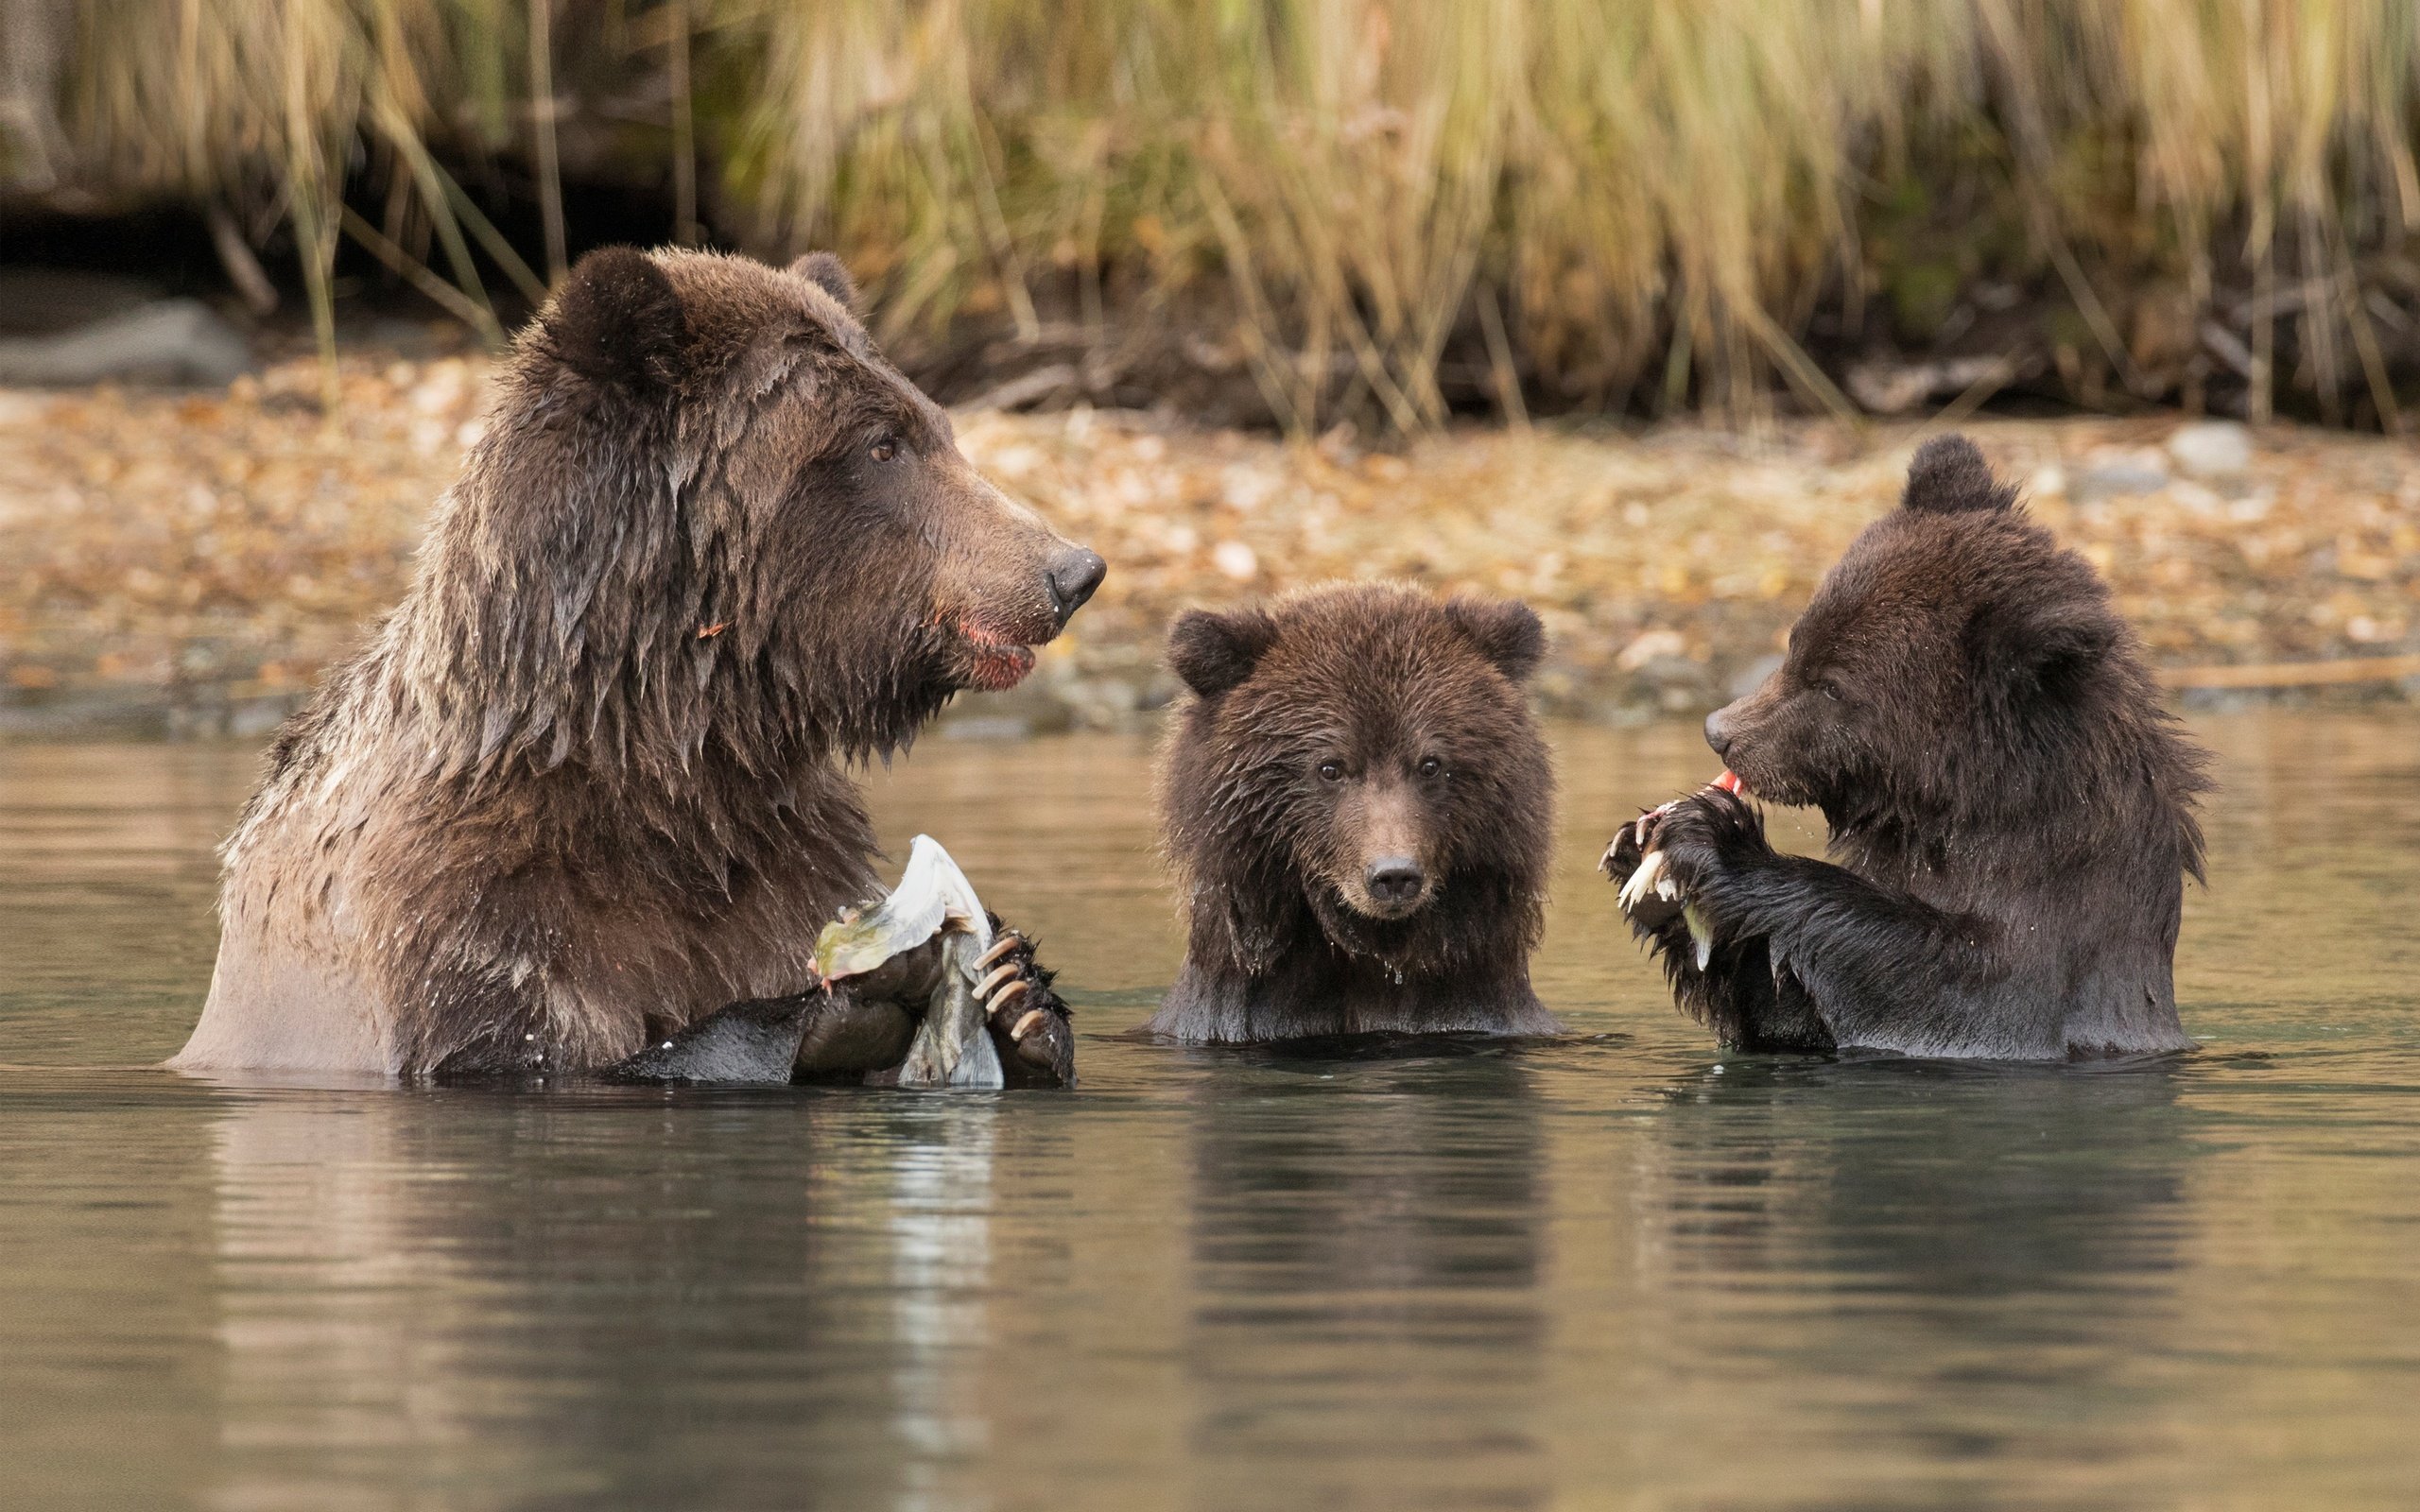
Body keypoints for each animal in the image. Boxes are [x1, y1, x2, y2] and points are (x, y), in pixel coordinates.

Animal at [173, 248, 1108, 1078]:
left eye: (939, 427)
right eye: (884, 444)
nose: (1070, 570)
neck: (661, 757)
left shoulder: (782, 860)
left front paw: (1019, 992)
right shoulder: (457, 920)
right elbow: (547, 1051)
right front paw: (848, 997)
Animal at [1606, 430, 2216, 1055]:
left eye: (1832, 685)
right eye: (1797, 645)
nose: (1721, 732)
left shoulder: (2043, 952)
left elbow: (1942, 983)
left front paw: (1715, 838)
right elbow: (1784, 1007)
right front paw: (1643, 854)